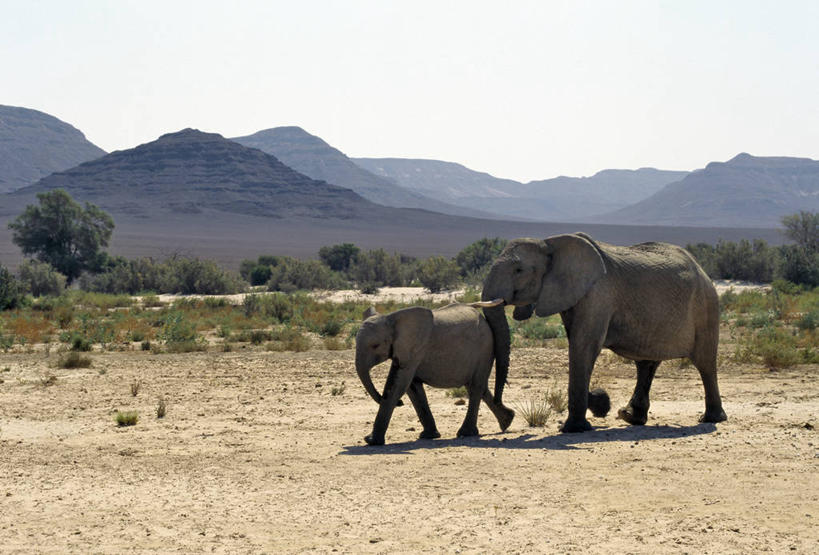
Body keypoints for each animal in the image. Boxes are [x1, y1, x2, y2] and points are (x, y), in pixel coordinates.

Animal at [356, 302, 516, 446]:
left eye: (375, 346)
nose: (400, 404)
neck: (391, 318)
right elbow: (412, 387)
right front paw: (429, 436)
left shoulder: (414, 349)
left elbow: (398, 386)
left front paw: (371, 441)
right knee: (476, 386)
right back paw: (507, 421)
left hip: (485, 347)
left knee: (476, 387)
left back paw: (466, 433)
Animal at [484, 232, 728, 432]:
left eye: (519, 270)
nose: (508, 414)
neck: (550, 243)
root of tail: (703, 270)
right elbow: (578, 344)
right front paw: (600, 404)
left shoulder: (598, 294)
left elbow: (583, 346)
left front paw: (574, 428)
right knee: (646, 363)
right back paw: (630, 417)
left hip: (706, 306)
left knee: (705, 363)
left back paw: (711, 419)